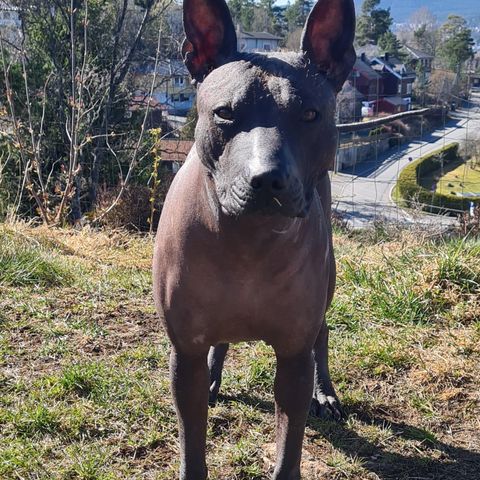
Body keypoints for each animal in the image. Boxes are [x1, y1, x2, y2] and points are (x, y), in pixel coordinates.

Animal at [154, 1, 356, 478]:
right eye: (226, 113)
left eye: (309, 115)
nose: (266, 179)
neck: (249, 243)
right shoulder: (184, 353)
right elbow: (192, 444)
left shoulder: (294, 358)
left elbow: (289, 448)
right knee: (221, 341)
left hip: (328, 284)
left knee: (322, 333)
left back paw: (326, 393)